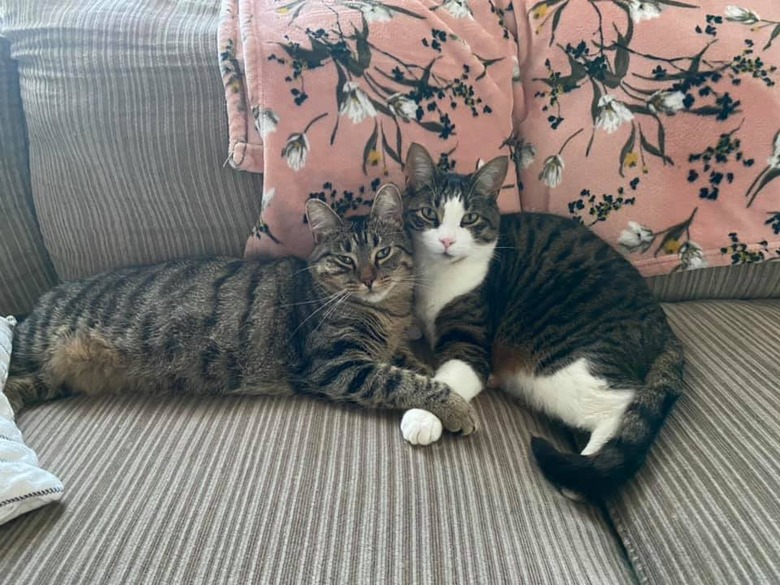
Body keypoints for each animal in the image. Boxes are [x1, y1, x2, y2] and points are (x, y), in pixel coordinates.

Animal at [6, 185, 476, 436]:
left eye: (382, 253)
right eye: (345, 260)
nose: (369, 279)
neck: (385, 312)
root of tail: (37, 304)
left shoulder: (382, 346)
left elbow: (408, 362)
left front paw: (430, 371)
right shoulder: (335, 365)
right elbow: (397, 380)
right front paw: (452, 405)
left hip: (44, 381)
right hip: (31, 350)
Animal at [402, 141, 684, 498]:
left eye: (470, 219)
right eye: (430, 214)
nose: (447, 241)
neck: (438, 276)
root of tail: (663, 326)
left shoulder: (472, 344)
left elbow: (452, 379)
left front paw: (423, 417)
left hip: (559, 363)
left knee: (623, 405)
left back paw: (583, 478)